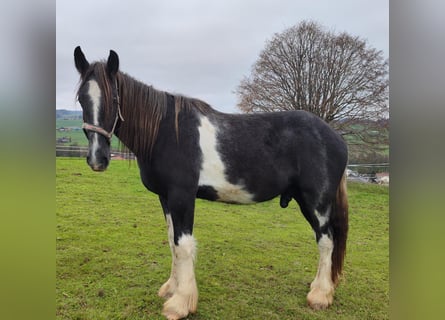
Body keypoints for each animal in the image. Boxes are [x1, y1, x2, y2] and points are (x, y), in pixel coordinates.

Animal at [74, 47, 348, 320]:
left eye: (114, 99)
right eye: (81, 99)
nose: (97, 159)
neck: (165, 132)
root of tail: (335, 136)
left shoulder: (182, 196)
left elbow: (183, 245)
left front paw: (180, 304)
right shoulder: (165, 198)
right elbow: (172, 241)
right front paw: (171, 288)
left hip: (315, 202)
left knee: (326, 241)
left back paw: (320, 295)